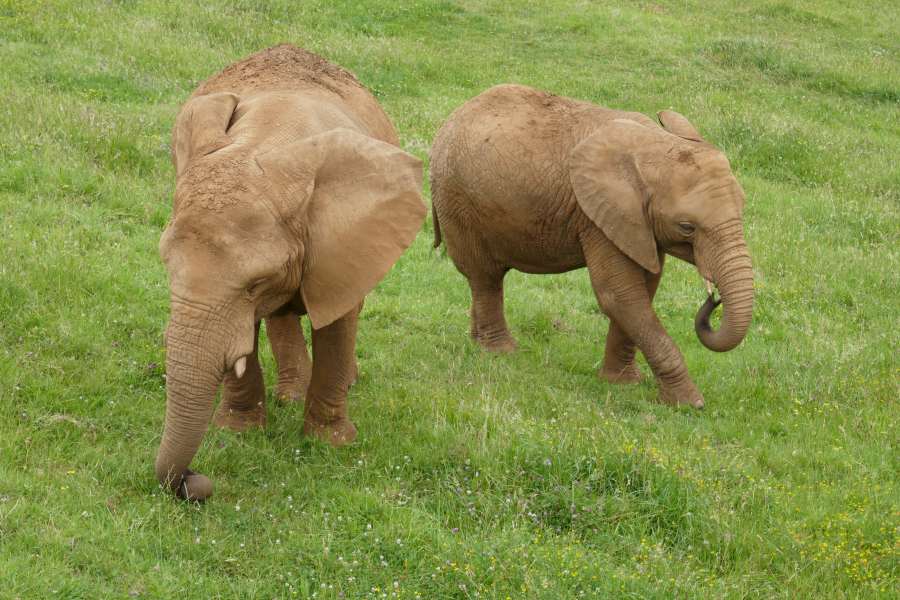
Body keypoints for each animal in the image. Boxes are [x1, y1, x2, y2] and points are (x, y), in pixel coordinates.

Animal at [156, 44, 428, 500]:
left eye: (256, 283)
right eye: (166, 265)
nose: (196, 480)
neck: (266, 140)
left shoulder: (350, 239)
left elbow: (336, 318)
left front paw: (330, 444)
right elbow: (244, 332)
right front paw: (239, 433)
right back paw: (290, 396)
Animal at [432, 83, 756, 408]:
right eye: (687, 227)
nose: (713, 298)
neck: (655, 143)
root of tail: (452, 117)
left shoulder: (637, 224)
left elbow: (644, 289)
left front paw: (622, 383)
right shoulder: (598, 216)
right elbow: (619, 294)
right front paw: (690, 403)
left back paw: (478, 341)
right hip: (457, 200)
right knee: (485, 276)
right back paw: (501, 351)